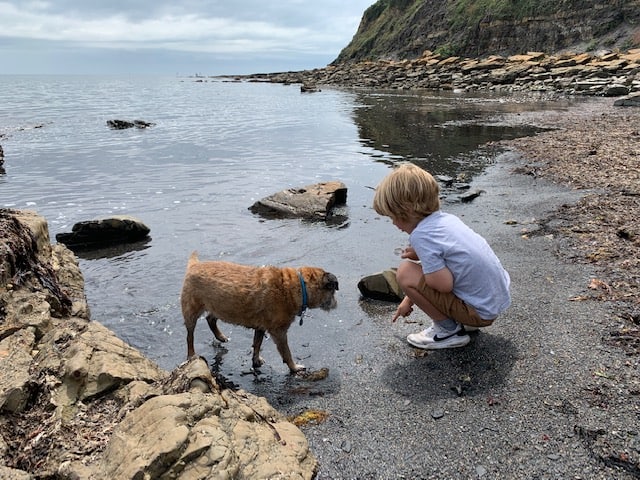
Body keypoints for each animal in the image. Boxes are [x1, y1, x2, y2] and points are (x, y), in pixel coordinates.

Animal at [180, 253, 338, 374]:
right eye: (332, 291)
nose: (336, 304)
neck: (297, 286)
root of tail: (194, 265)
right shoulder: (279, 332)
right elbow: (286, 352)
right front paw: (294, 367)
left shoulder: (260, 327)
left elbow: (257, 343)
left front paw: (256, 360)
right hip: (191, 310)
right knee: (189, 336)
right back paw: (191, 354)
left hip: (219, 306)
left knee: (210, 318)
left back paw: (220, 336)